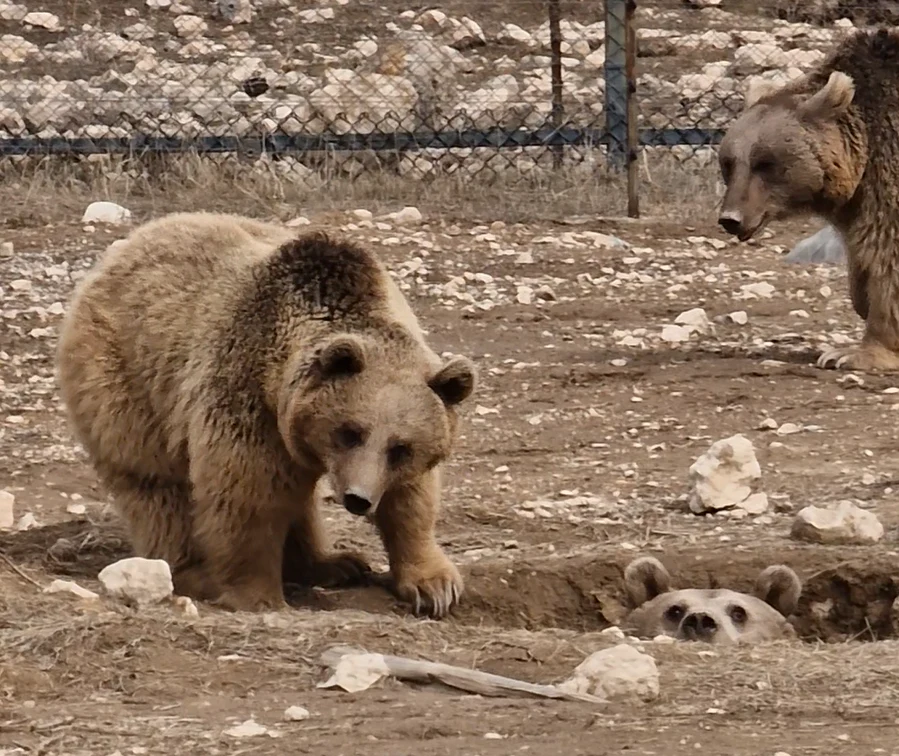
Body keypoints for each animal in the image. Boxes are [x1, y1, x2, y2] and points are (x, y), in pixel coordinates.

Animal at [55, 211, 477, 617]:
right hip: (127, 380)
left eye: (401, 447)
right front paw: (256, 594)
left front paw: (435, 586)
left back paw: (334, 563)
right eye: (349, 431)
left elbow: (410, 499)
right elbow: (247, 496)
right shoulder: (245, 395)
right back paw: (193, 572)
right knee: (155, 486)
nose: (358, 499)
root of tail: (121, 250)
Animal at [716, 27, 899, 372]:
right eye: (729, 163)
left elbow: (888, 255)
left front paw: (851, 354)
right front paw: (861, 301)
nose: (731, 219)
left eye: (765, 162)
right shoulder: (859, 200)